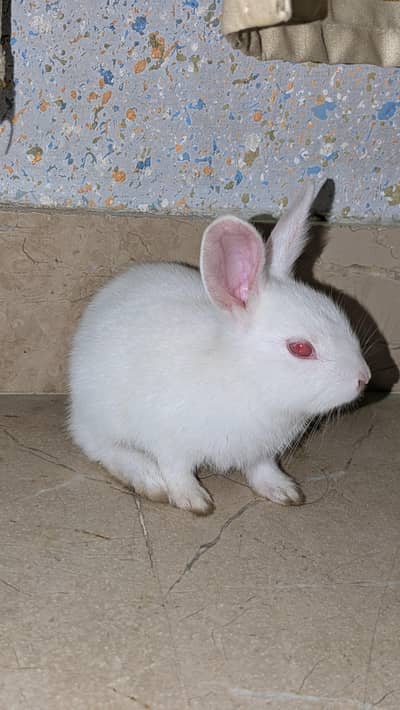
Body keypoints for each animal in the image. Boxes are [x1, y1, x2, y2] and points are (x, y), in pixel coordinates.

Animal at [68, 183, 370, 514]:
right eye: (301, 348)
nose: (364, 378)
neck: (245, 379)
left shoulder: (261, 450)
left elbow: (262, 469)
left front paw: (284, 491)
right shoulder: (170, 441)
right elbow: (176, 471)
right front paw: (194, 501)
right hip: (102, 415)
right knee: (98, 446)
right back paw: (148, 478)